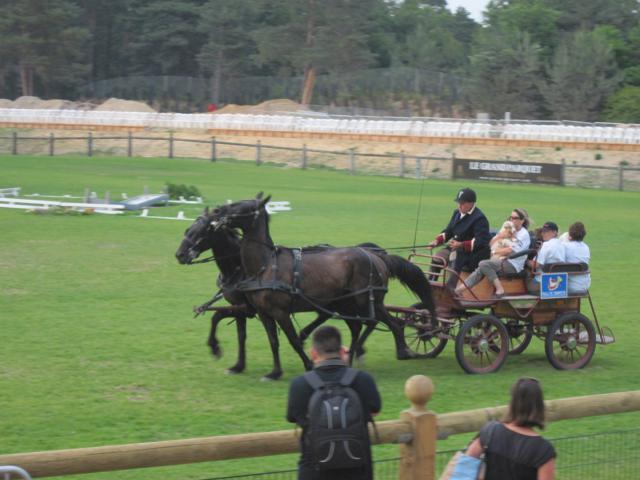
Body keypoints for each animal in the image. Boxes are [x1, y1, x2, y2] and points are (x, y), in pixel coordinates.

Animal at [208, 192, 438, 372]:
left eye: (242, 206)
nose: (217, 212)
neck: (266, 265)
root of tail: (378, 257)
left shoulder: (279, 311)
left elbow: (291, 339)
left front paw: (307, 364)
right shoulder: (264, 312)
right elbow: (273, 340)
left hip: (363, 300)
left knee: (374, 322)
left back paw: (364, 352)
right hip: (356, 302)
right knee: (384, 324)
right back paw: (394, 351)